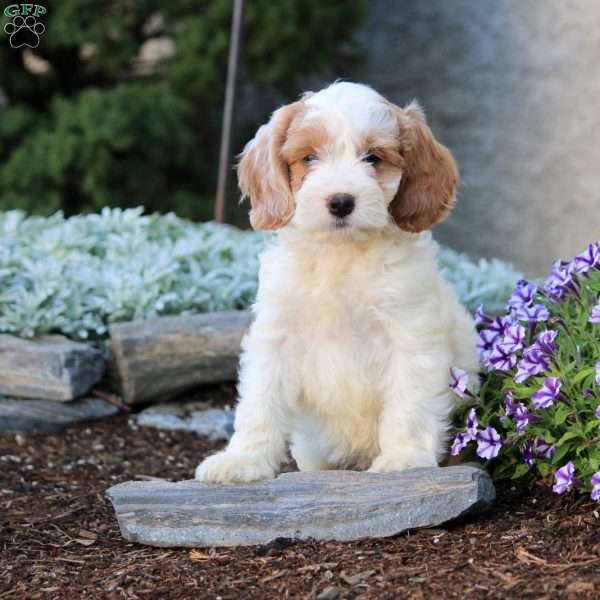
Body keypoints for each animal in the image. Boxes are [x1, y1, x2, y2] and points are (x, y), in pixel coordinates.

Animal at [197, 81, 478, 482]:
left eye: (373, 158)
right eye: (309, 158)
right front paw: (242, 460)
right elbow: (259, 401)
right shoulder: (276, 335)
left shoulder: (409, 334)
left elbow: (409, 401)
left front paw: (405, 456)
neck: (342, 253)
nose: (341, 201)